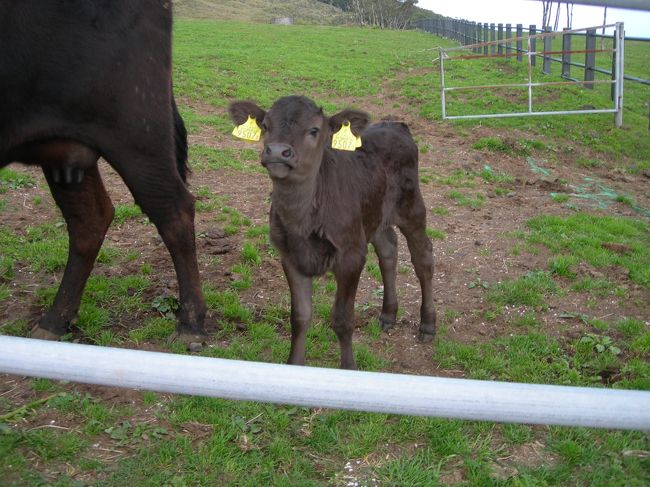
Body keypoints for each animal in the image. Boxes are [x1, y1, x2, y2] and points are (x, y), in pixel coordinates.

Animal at [0, 0, 206, 346]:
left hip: (136, 133)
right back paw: (55, 321)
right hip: (65, 150)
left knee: (174, 211)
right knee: (90, 219)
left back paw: (191, 324)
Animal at [228, 95, 436, 370]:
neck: (303, 221)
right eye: (265, 125)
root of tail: (395, 124)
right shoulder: (290, 256)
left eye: (314, 130)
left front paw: (348, 369)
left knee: (423, 258)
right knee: (388, 250)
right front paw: (294, 364)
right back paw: (388, 314)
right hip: (374, 215)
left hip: (411, 207)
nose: (278, 151)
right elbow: (300, 317)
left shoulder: (351, 255)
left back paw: (428, 324)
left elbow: (342, 319)